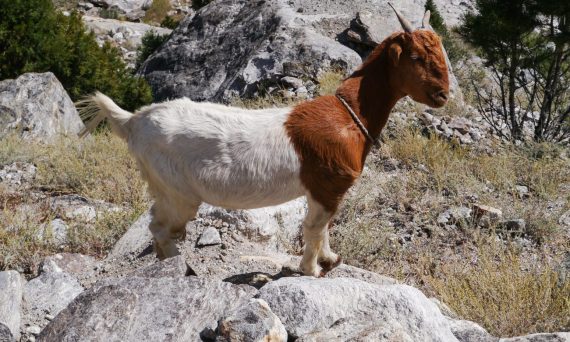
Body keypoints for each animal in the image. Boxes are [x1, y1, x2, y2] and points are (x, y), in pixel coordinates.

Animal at [79, 5, 448, 276]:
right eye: (416, 57)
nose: (443, 94)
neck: (350, 114)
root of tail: (133, 121)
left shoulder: (324, 190)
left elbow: (324, 227)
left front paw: (330, 259)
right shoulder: (329, 184)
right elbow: (314, 228)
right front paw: (310, 269)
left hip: (163, 187)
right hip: (177, 190)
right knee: (160, 227)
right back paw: (176, 267)